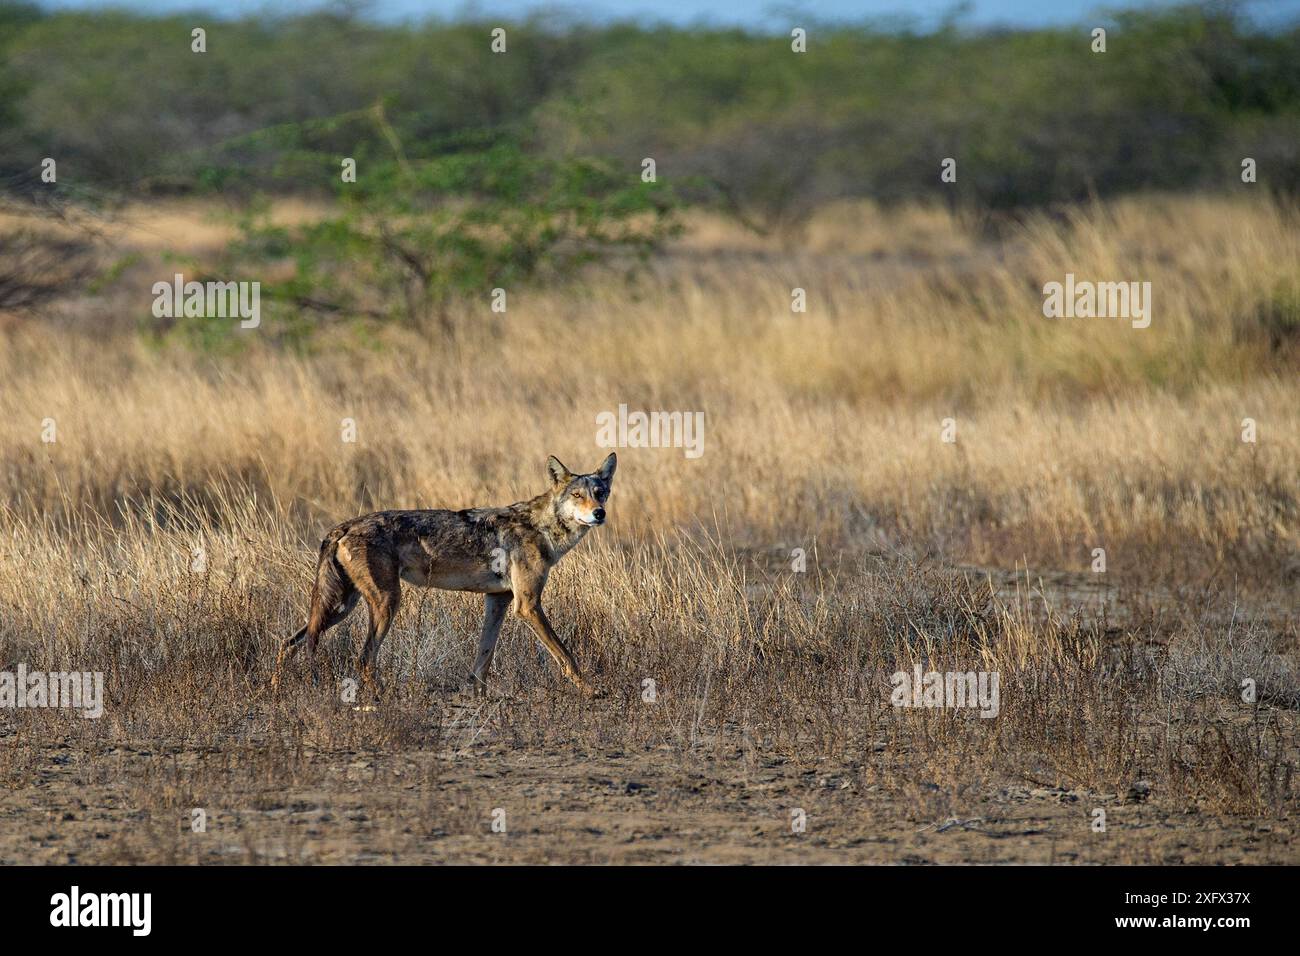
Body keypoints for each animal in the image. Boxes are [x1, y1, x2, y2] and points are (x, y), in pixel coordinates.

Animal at [272, 453, 616, 697]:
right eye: (577, 495)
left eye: (600, 493)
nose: (599, 513)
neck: (542, 528)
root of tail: (341, 528)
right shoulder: (528, 605)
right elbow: (566, 656)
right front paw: (592, 691)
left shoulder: (499, 600)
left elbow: (483, 659)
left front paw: (479, 698)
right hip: (384, 604)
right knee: (364, 659)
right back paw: (383, 700)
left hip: (342, 607)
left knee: (288, 644)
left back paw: (275, 691)